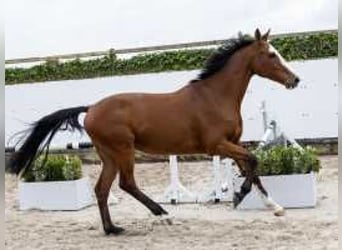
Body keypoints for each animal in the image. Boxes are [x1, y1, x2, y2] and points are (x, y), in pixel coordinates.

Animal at [8, 28, 300, 234]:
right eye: (271, 54)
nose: (295, 80)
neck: (215, 96)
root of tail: (91, 108)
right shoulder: (217, 145)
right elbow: (253, 160)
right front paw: (240, 195)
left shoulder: (233, 142)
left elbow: (252, 166)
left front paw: (274, 207)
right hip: (123, 150)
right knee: (126, 184)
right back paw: (164, 215)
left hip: (109, 155)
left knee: (102, 189)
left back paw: (112, 229)